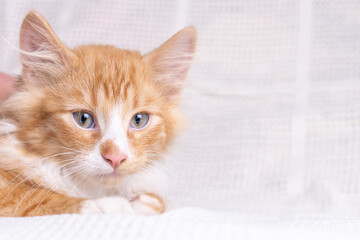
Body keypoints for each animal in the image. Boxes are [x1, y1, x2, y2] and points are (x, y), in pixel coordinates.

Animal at [0, 10, 195, 216]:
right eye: (83, 119)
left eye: (139, 120)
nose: (116, 158)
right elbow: (34, 198)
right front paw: (111, 205)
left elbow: (155, 202)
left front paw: (143, 202)